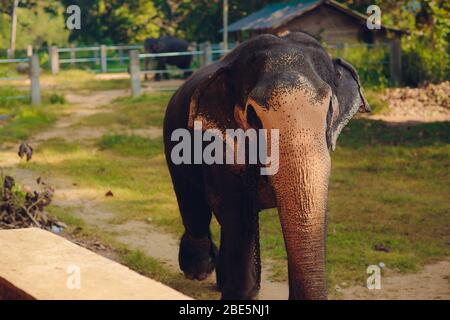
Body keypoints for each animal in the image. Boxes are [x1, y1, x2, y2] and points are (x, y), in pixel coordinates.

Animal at [162, 32, 370, 300]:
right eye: (252, 115)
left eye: (330, 107)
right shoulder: (219, 146)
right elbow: (236, 209)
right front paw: (242, 294)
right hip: (173, 140)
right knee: (193, 202)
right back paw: (198, 271)